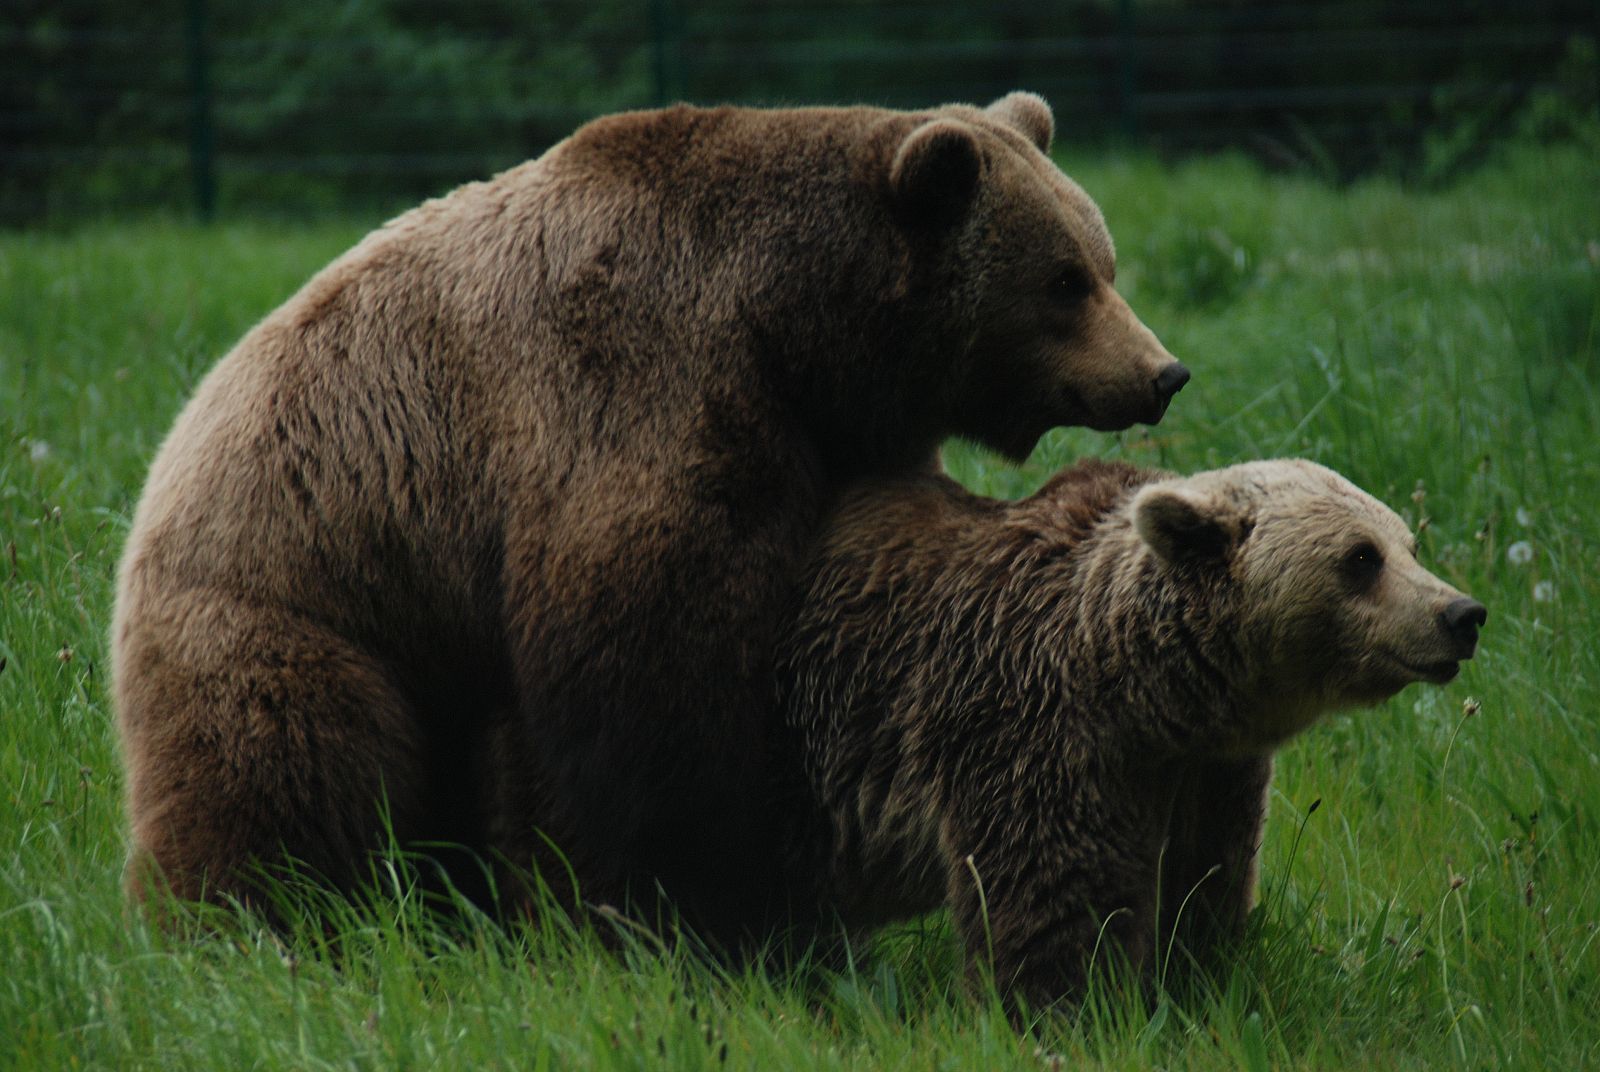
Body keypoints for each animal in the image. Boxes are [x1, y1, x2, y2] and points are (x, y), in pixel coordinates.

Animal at [116, 96, 1190, 947]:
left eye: (1103, 259)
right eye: (1063, 279)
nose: (1162, 372)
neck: (794, 321)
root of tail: (161, 467)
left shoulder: (834, 434)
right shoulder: (636, 386)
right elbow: (645, 668)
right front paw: (693, 899)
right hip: (303, 595)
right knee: (288, 776)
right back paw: (253, 919)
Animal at [774, 460, 1484, 1017]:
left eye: (1410, 546)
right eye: (1361, 557)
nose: (1462, 614)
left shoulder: (1209, 769)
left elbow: (1205, 877)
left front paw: (1196, 973)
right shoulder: (1032, 728)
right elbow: (1056, 903)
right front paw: (1066, 1006)